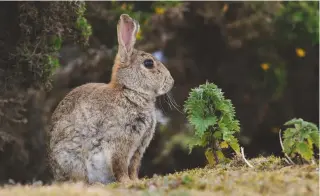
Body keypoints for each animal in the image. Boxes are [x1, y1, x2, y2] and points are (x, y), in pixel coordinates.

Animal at [47, 13, 174, 184]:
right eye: (148, 63)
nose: (171, 82)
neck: (128, 91)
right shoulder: (120, 142)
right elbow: (120, 165)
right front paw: (127, 182)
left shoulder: (138, 148)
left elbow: (133, 167)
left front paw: (136, 181)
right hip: (71, 158)